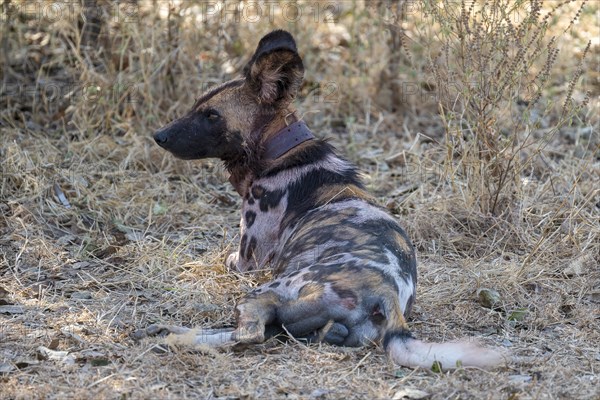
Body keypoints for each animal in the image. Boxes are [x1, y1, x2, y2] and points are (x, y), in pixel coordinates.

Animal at [143, 29, 504, 370]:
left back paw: (170, 336)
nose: (159, 136)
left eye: (211, 116)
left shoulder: (247, 264)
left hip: (263, 291)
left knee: (249, 334)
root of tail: (386, 293)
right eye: (196, 107)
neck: (281, 152)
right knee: (275, 331)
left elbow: (220, 259)